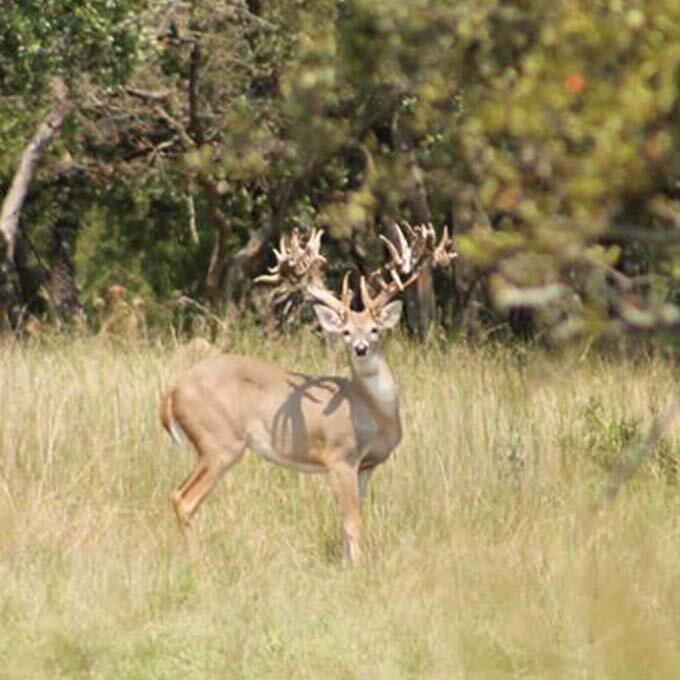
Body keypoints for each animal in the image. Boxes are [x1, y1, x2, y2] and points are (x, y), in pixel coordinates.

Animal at [160, 223, 455, 565]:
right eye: (345, 332)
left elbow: (349, 520)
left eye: (374, 329)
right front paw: (359, 567)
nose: (360, 348)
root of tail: (171, 393)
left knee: (178, 494)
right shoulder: (339, 456)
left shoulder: (366, 466)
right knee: (183, 499)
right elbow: (353, 521)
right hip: (219, 441)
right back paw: (199, 563)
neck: (373, 412)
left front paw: (346, 564)